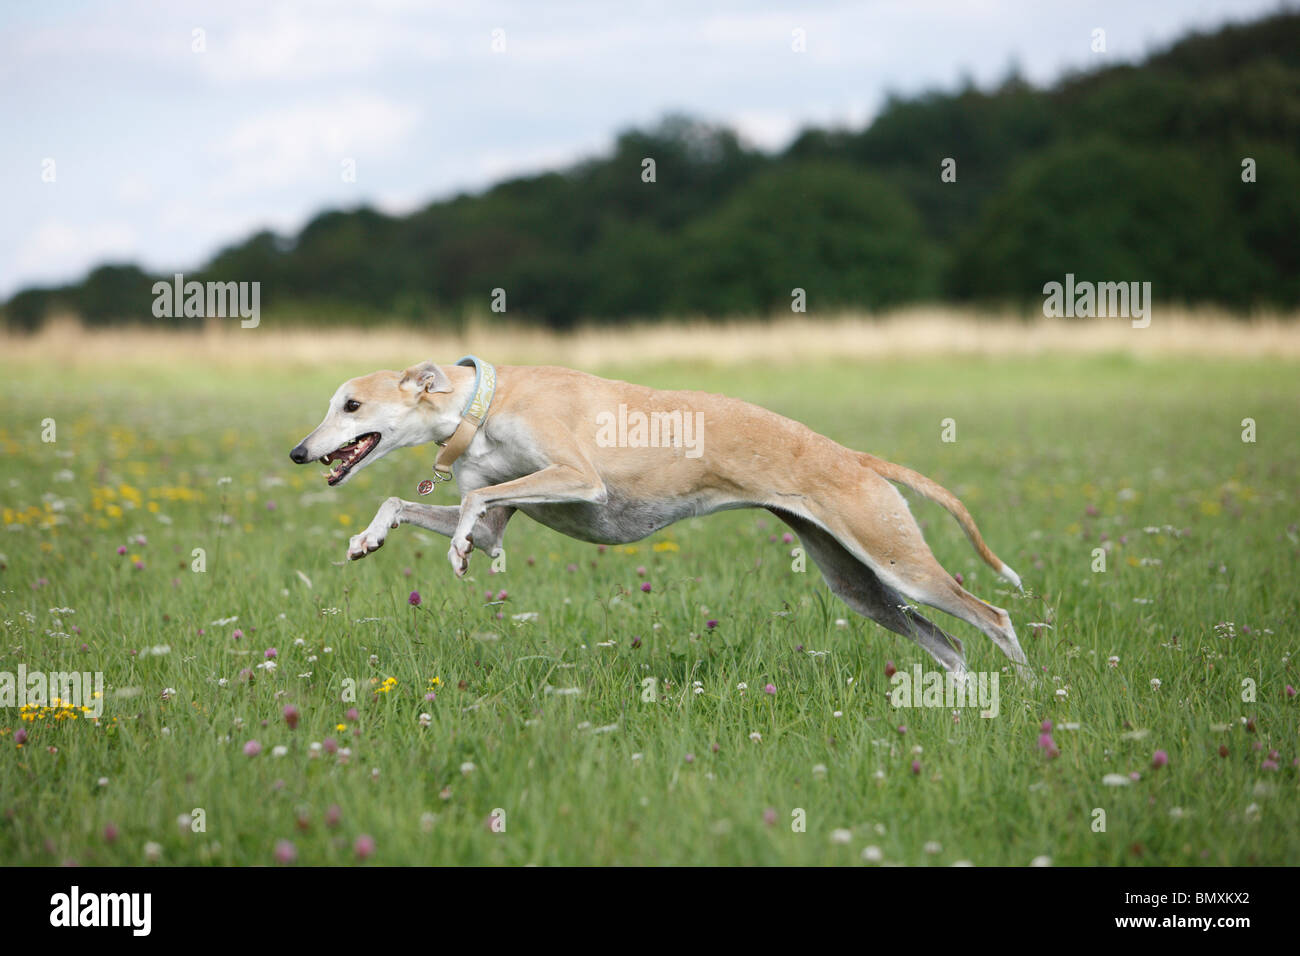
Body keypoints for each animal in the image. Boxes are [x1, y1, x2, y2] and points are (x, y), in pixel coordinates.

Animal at [292, 356, 1024, 676]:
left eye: (351, 405)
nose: (299, 452)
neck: (483, 401)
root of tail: (854, 456)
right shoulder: (509, 500)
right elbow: (412, 502)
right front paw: (369, 537)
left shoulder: (576, 478)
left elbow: (474, 503)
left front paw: (460, 549)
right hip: (858, 584)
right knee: (950, 643)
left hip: (897, 562)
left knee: (994, 617)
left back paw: (1025, 692)